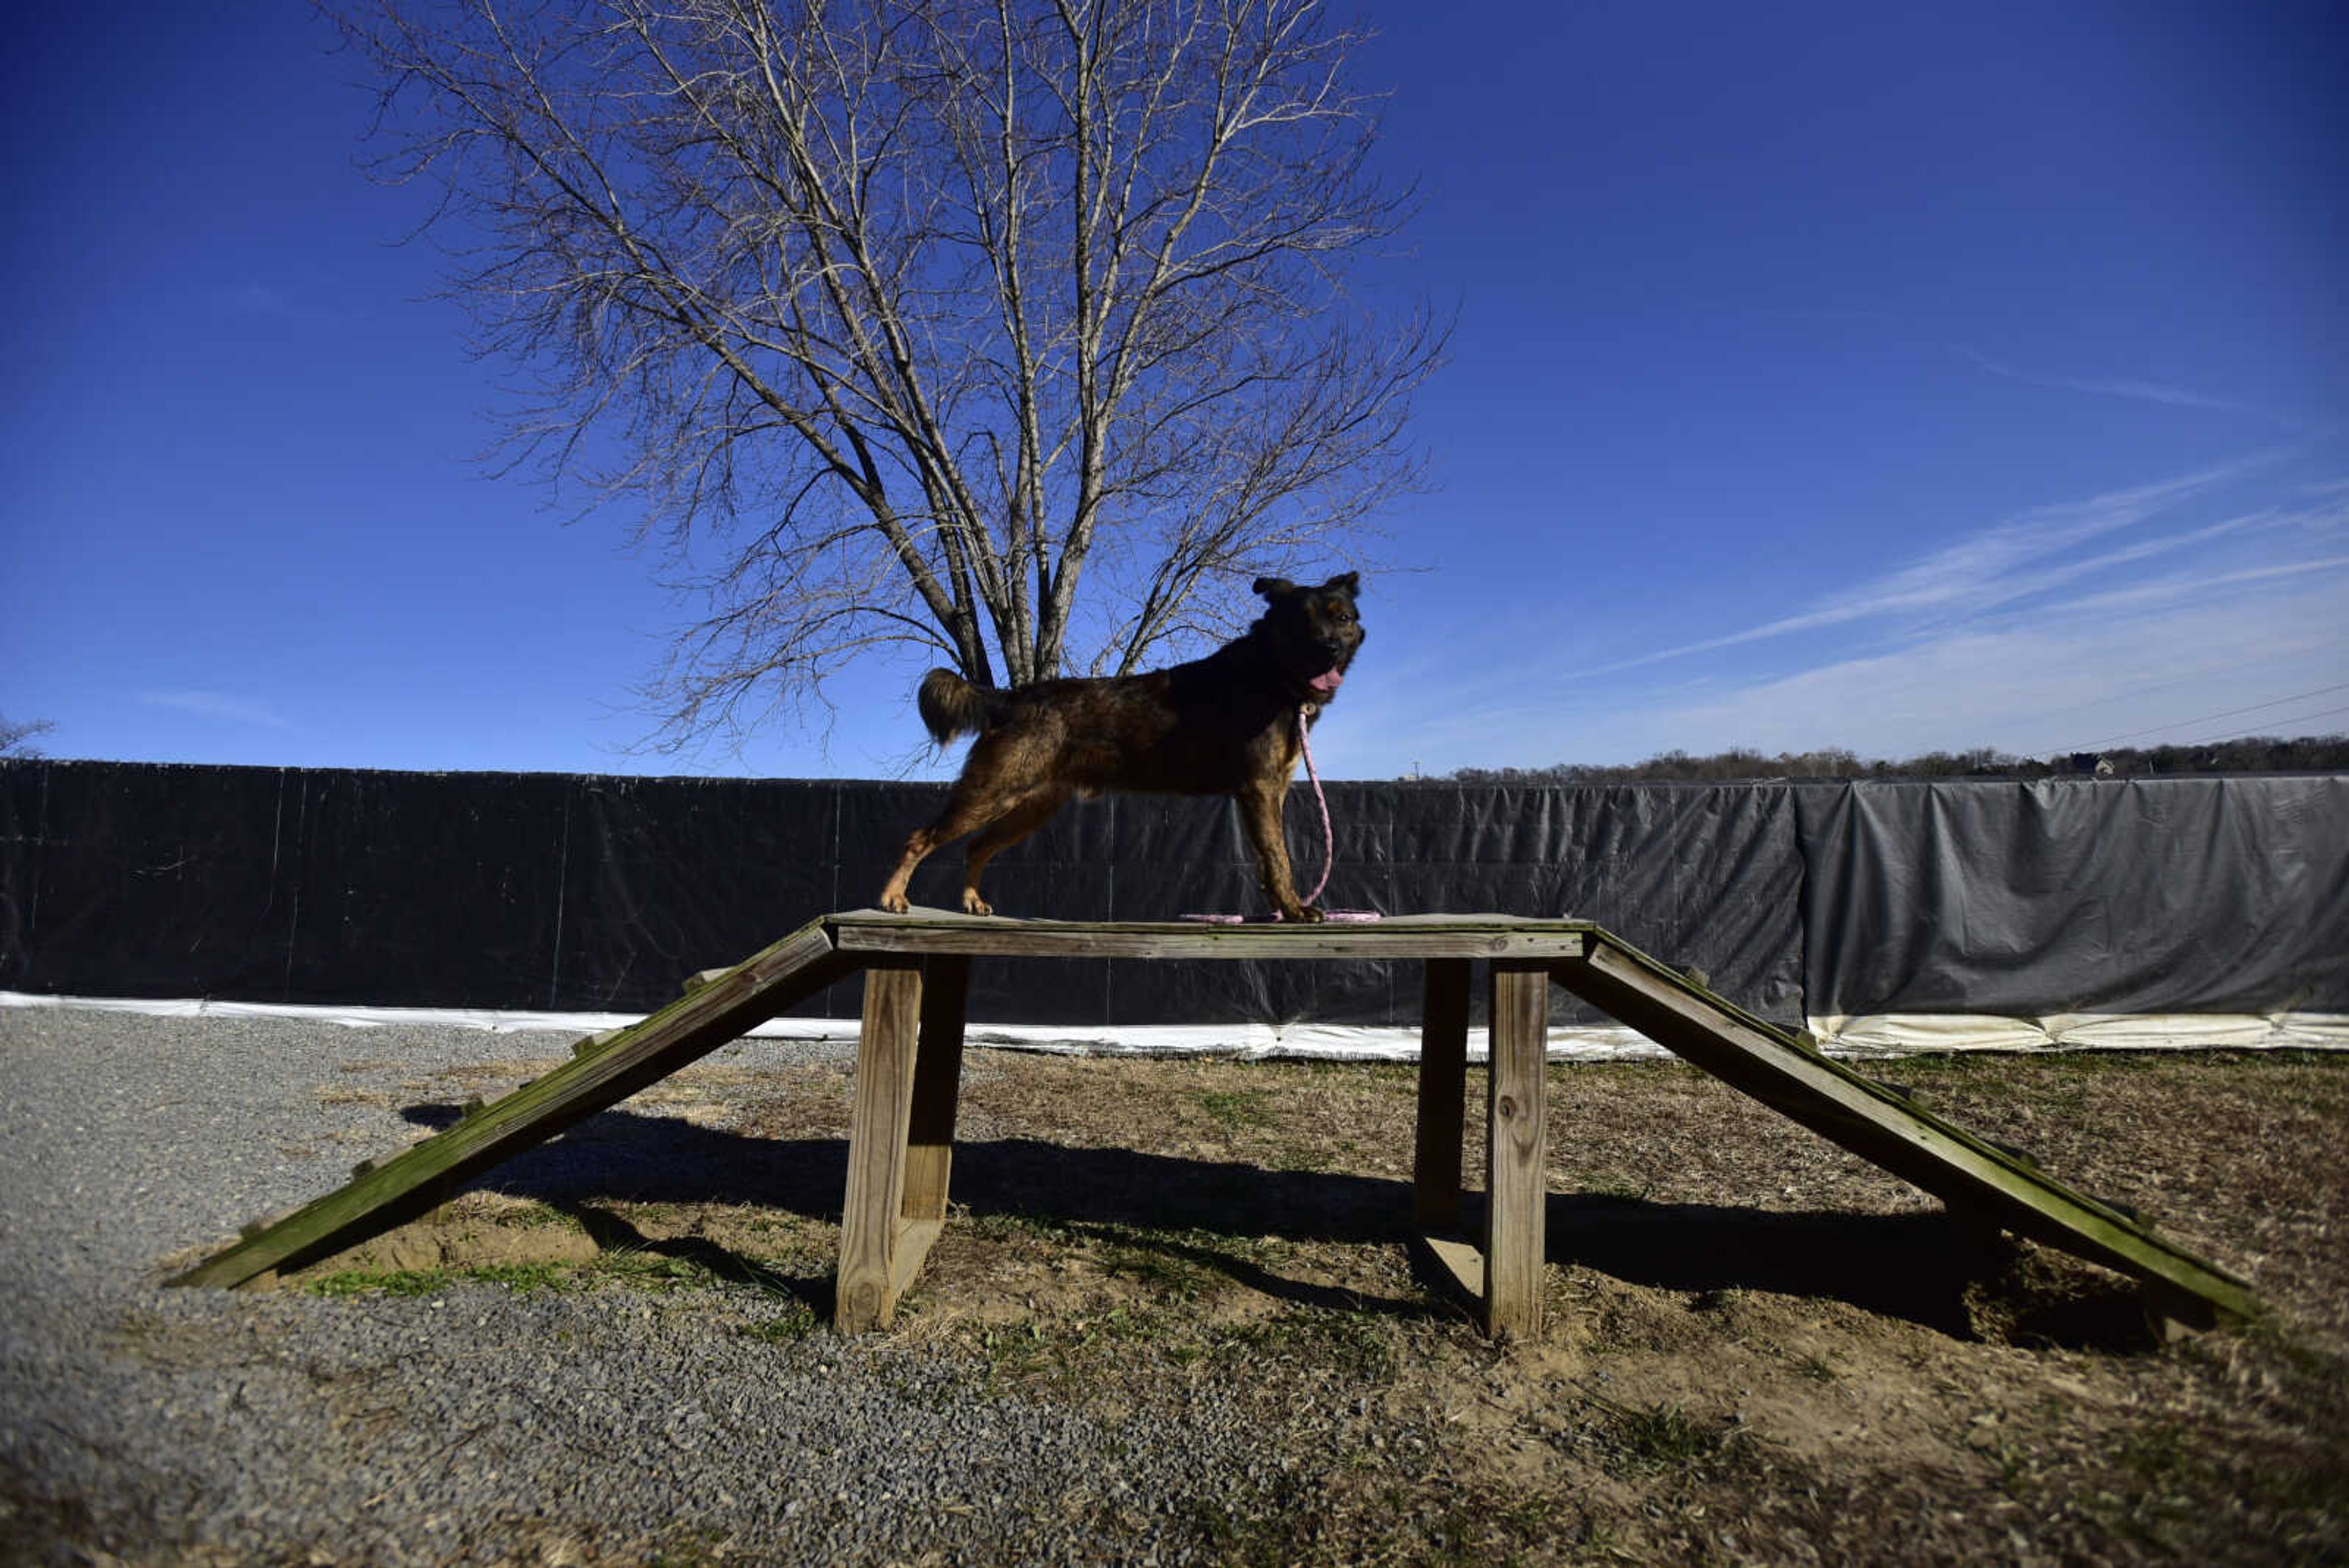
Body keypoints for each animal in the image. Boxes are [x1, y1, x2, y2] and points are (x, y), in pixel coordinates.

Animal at [878, 573, 1362, 921]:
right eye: (1303, 621)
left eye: (1342, 618)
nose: (1329, 648)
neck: (1271, 672)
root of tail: (1010, 698)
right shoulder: (1259, 788)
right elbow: (1279, 856)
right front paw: (1296, 908)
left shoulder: (1272, 790)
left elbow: (1267, 857)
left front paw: (1281, 908)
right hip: (994, 790)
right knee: (921, 837)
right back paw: (893, 897)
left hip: (1031, 806)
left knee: (977, 847)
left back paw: (972, 901)